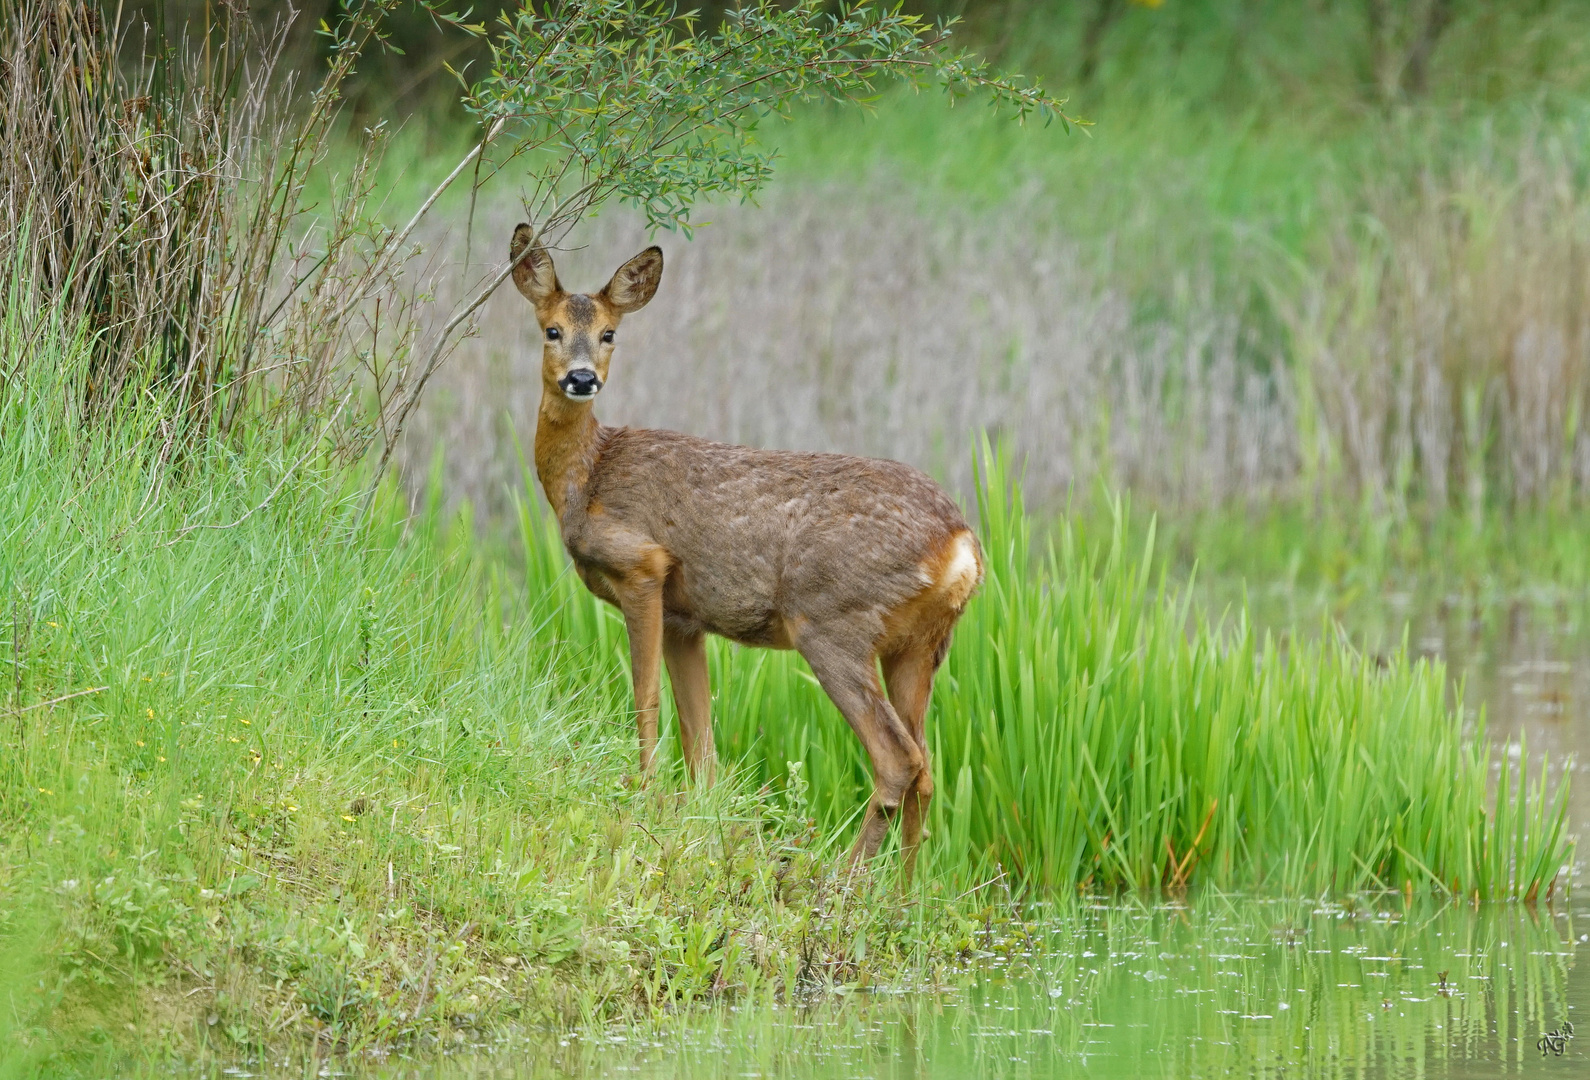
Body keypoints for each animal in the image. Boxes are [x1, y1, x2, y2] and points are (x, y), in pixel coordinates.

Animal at [508, 225, 979, 871]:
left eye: (609, 334)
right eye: (551, 329)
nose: (582, 379)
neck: (587, 477)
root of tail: (961, 545)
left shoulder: (642, 566)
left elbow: (645, 700)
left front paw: (643, 797)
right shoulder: (685, 618)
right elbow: (700, 739)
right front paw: (694, 820)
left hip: (831, 622)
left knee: (898, 758)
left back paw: (848, 881)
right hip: (920, 646)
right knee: (927, 770)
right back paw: (904, 890)